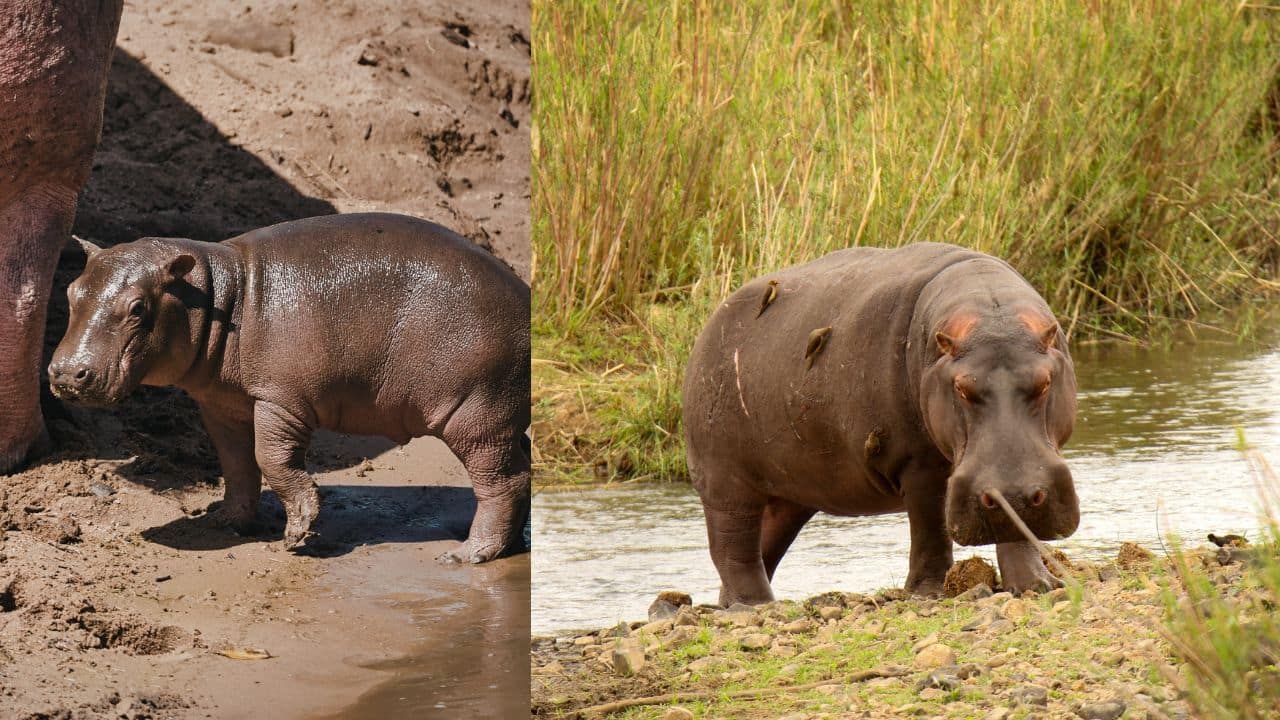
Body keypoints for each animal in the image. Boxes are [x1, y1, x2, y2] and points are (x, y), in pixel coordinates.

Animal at [48, 213, 530, 563]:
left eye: (137, 307)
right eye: (71, 291)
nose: (66, 374)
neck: (221, 294)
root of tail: (526, 295)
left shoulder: (279, 399)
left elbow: (272, 459)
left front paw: (297, 533)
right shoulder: (221, 404)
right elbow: (236, 464)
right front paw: (224, 521)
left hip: (476, 414)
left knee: (501, 482)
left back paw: (465, 555)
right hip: (496, 417)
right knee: (521, 469)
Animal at [682, 242, 1079, 604]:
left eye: (1045, 381)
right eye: (961, 388)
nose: (1012, 492)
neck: (991, 315)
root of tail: (709, 325)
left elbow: (1015, 524)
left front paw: (1036, 585)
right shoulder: (919, 463)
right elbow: (929, 528)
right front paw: (927, 592)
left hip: (790, 493)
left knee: (762, 546)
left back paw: (732, 604)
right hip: (725, 482)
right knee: (733, 547)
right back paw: (754, 605)